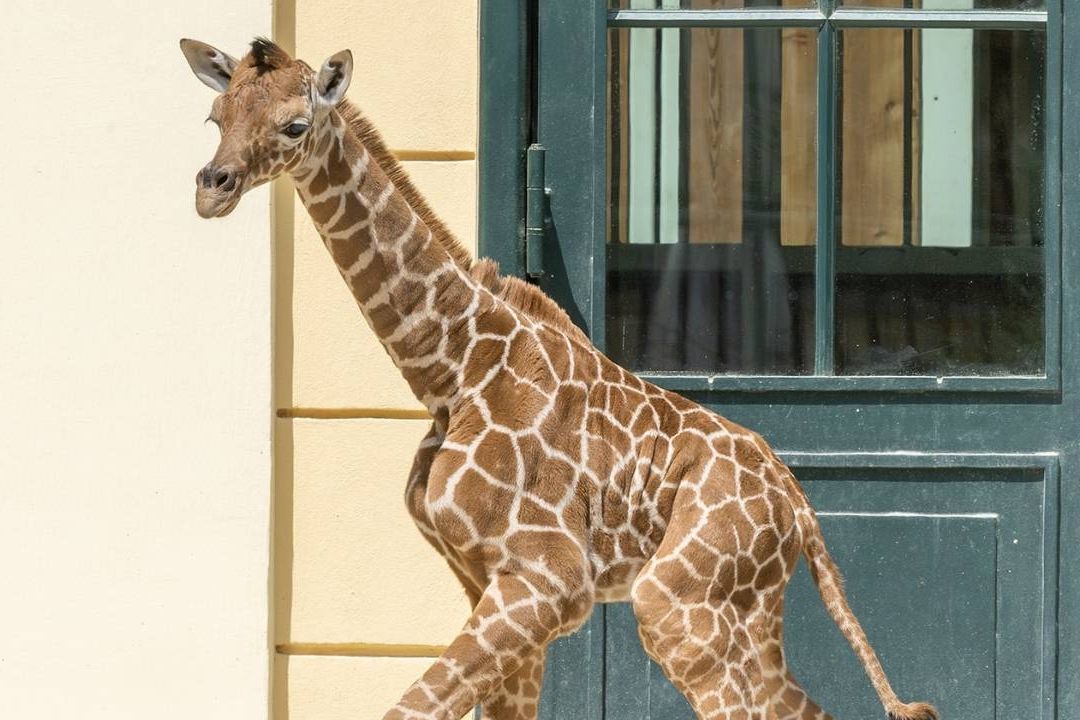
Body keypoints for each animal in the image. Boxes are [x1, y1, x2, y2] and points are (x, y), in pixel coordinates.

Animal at [181, 38, 939, 720]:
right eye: (216, 115)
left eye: (295, 125)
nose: (211, 189)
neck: (449, 372)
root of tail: (798, 506)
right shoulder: (485, 579)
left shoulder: (547, 580)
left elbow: (409, 709)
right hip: (745, 607)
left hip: (678, 601)